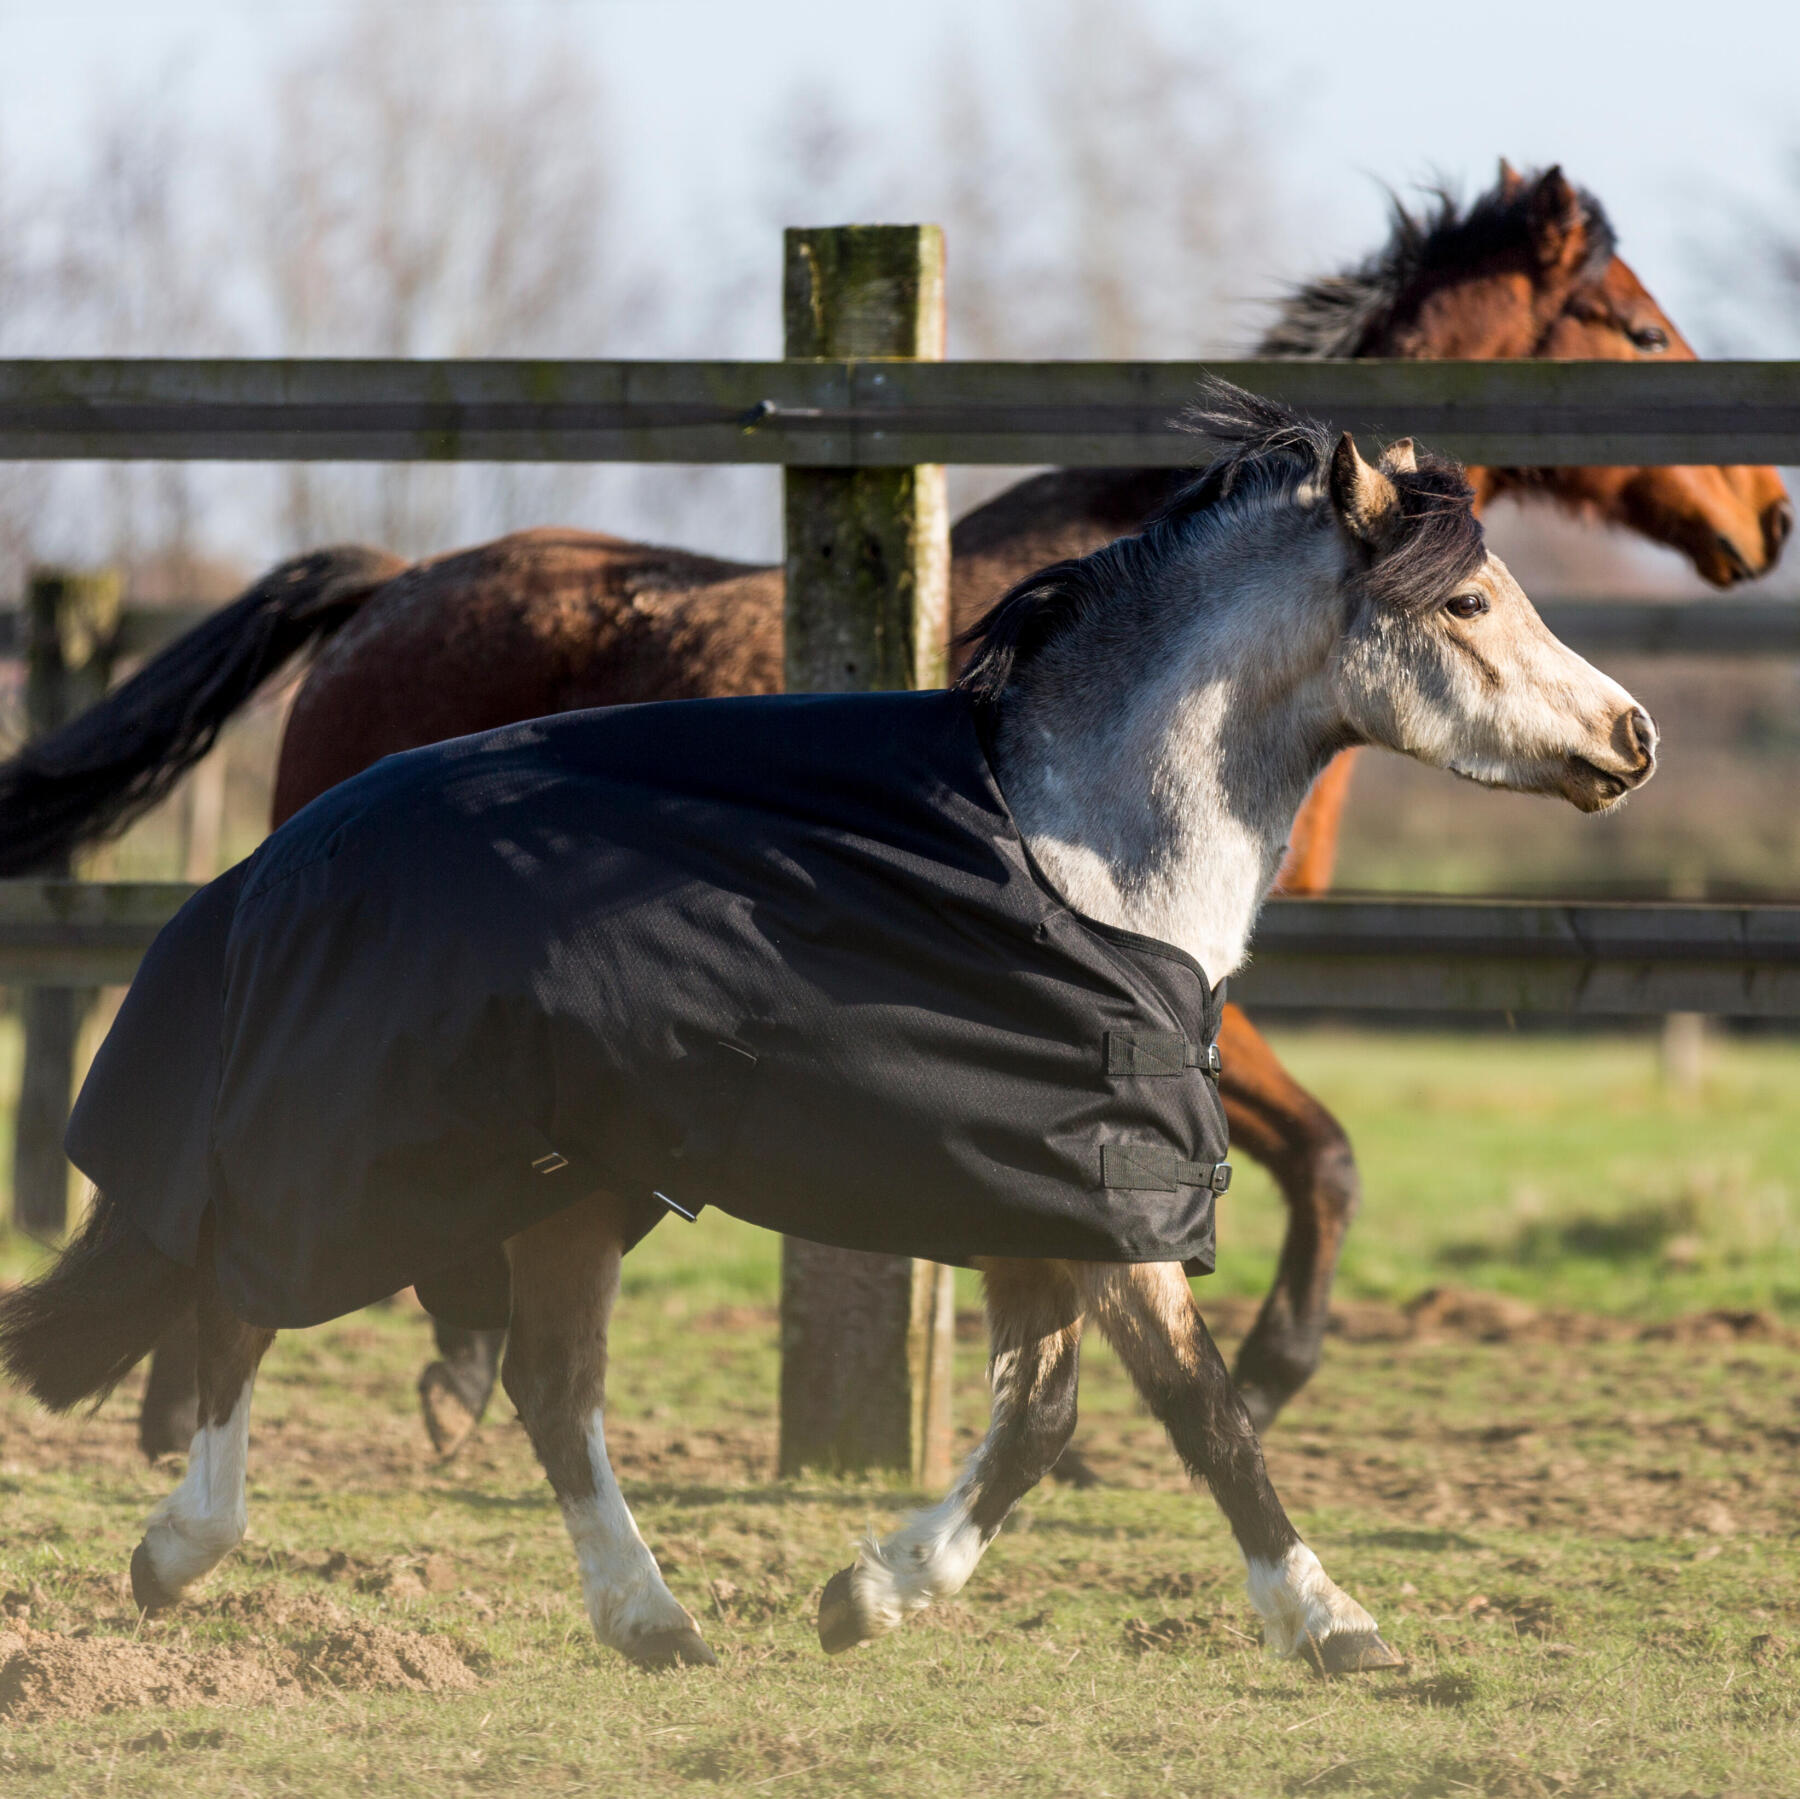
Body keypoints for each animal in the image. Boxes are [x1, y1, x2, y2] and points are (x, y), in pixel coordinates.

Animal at [0, 386, 1658, 1673]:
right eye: (1467, 602)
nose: (1631, 736)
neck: (1082, 863)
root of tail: (283, 854)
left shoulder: (1045, 1192)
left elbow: (1056, 1416)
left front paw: (870, 1592)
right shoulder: (1091, 1201)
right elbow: (1182, 1408)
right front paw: (1329, 1620)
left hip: (568, 1179)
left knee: (549, 1385)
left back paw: (653, 1620)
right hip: (381, 1154)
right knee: (242, 1296)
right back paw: (182, 1547)